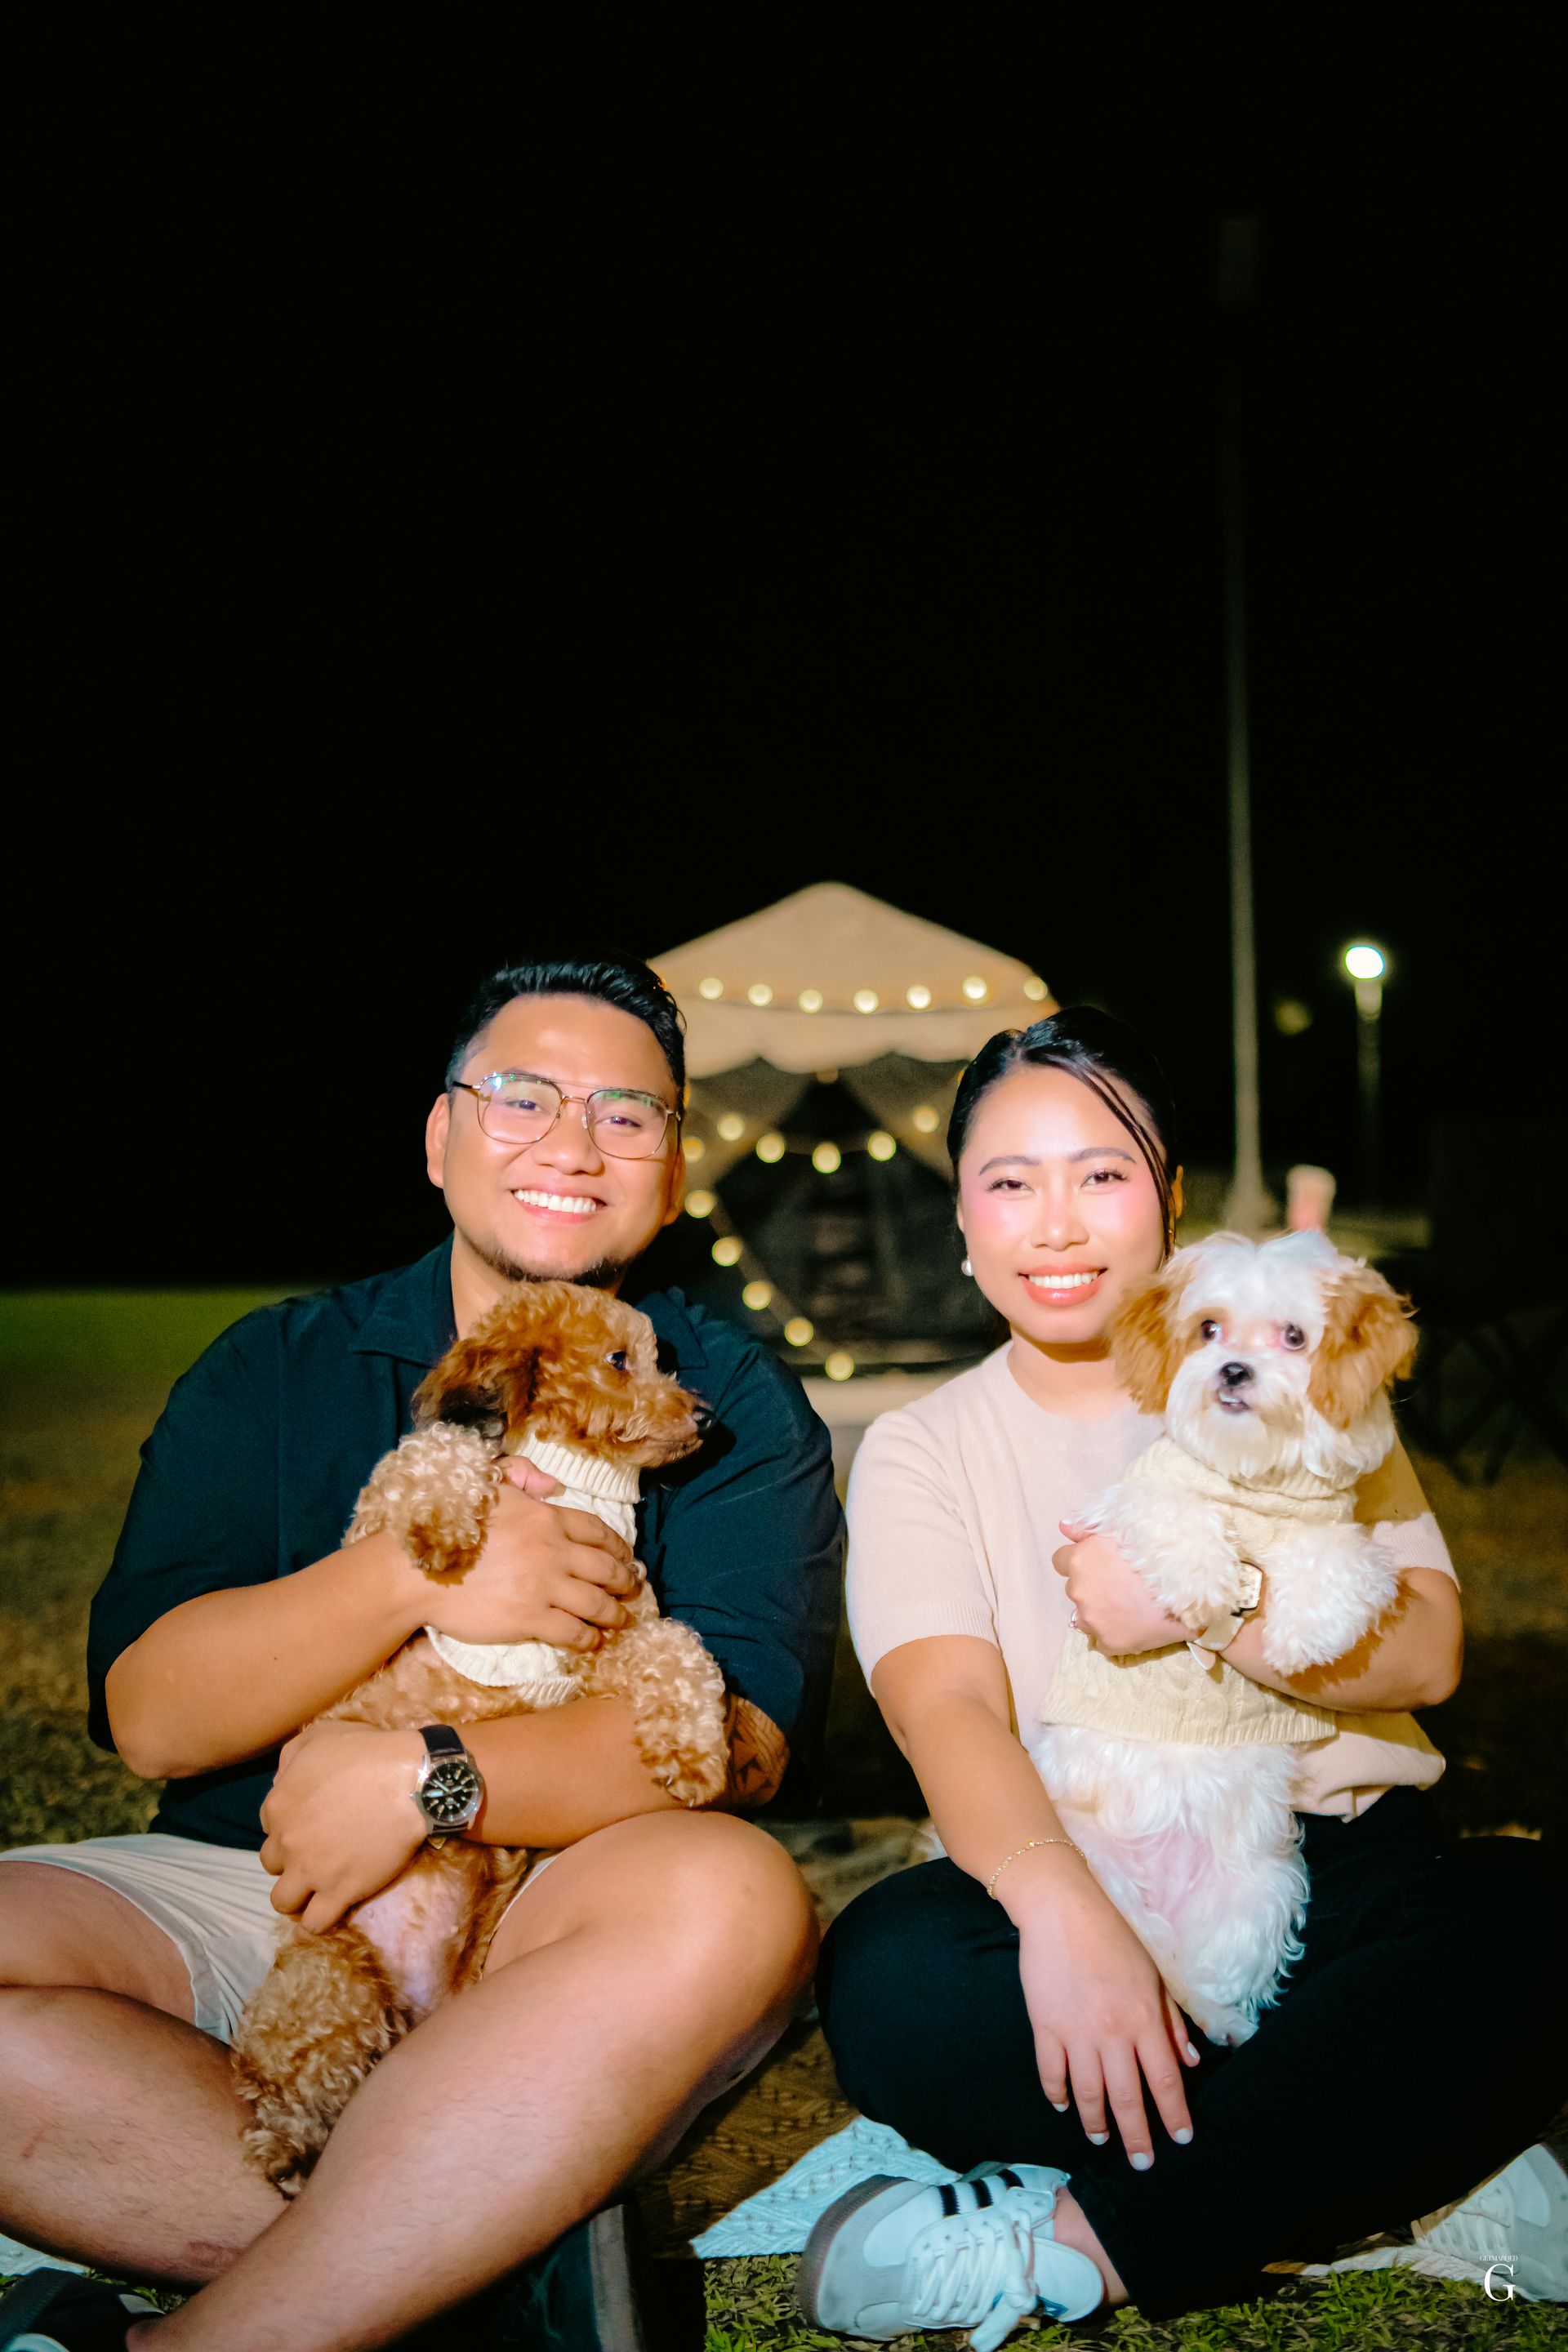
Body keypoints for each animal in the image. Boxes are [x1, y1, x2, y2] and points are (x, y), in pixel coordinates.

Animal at [231, 1280, 731, 2193]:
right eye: (620, 1360)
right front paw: (445, 1532)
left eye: (665, 1358)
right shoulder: (378, 1517)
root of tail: (416, 2006)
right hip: (326, 1987)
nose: (708, 1416)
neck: (577, 1483)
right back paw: (287, 2149)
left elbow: (683, 1655)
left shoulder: (617, 1630)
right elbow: (441, 1452)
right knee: (287, 2086)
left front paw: (693, 1755)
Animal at [1030, 1231, 1417, 2045]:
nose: (1233, 1369)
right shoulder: (1129, 1505)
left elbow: (1335, 1560)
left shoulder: (1336, 1530)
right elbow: (1177, 1515)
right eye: (1209, 1330)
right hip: (1095, 1871)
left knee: (1208, 1972)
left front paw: (1301, 1634)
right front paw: (1206, 1583)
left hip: (1262, 1887)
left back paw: (1226, 2022)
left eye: (1295, 1337)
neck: (1255, 1480)